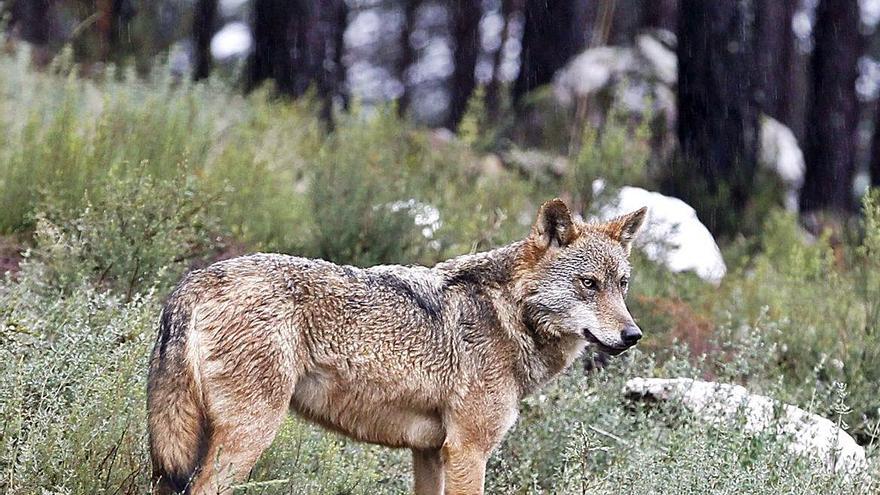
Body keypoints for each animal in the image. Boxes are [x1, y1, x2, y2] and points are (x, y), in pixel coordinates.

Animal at [147, 199, 647, 495]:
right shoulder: (468, 451)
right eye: (588, 284)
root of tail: (196, 279)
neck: (507, 315)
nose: (633, 335)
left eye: (622, 285)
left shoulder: (430, 452)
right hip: (249, 436)